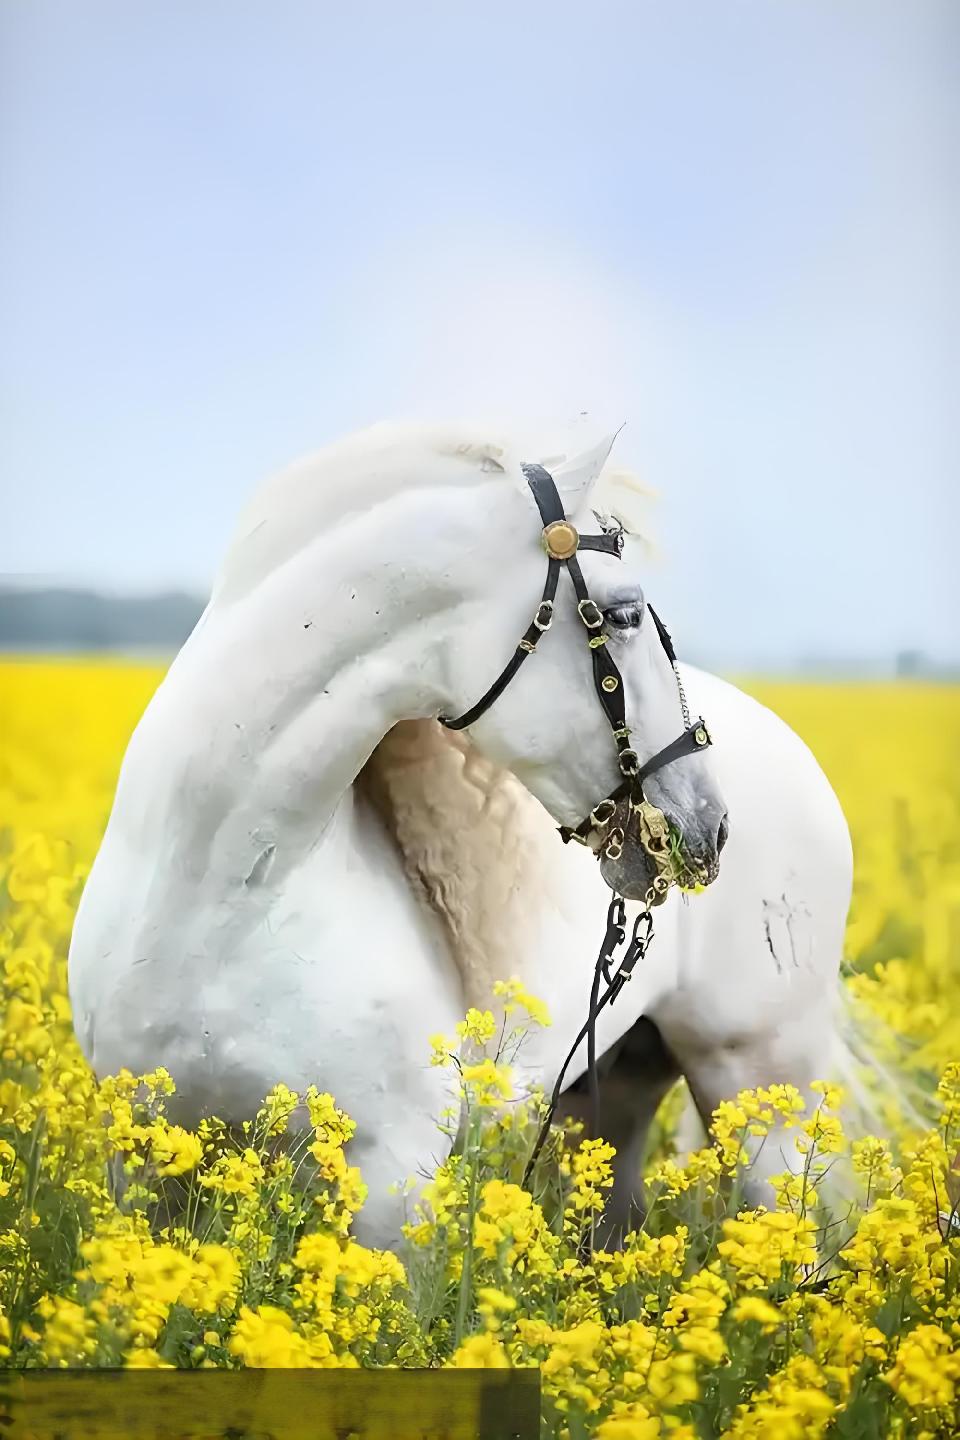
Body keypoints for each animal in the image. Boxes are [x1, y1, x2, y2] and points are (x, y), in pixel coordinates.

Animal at [68, 420, 866, 1248]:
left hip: (760, 1089)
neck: (218, 892)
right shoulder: (141, 1160)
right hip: (612, 1092)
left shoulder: (391, 1182)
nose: (709, 824)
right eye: (623, 612)